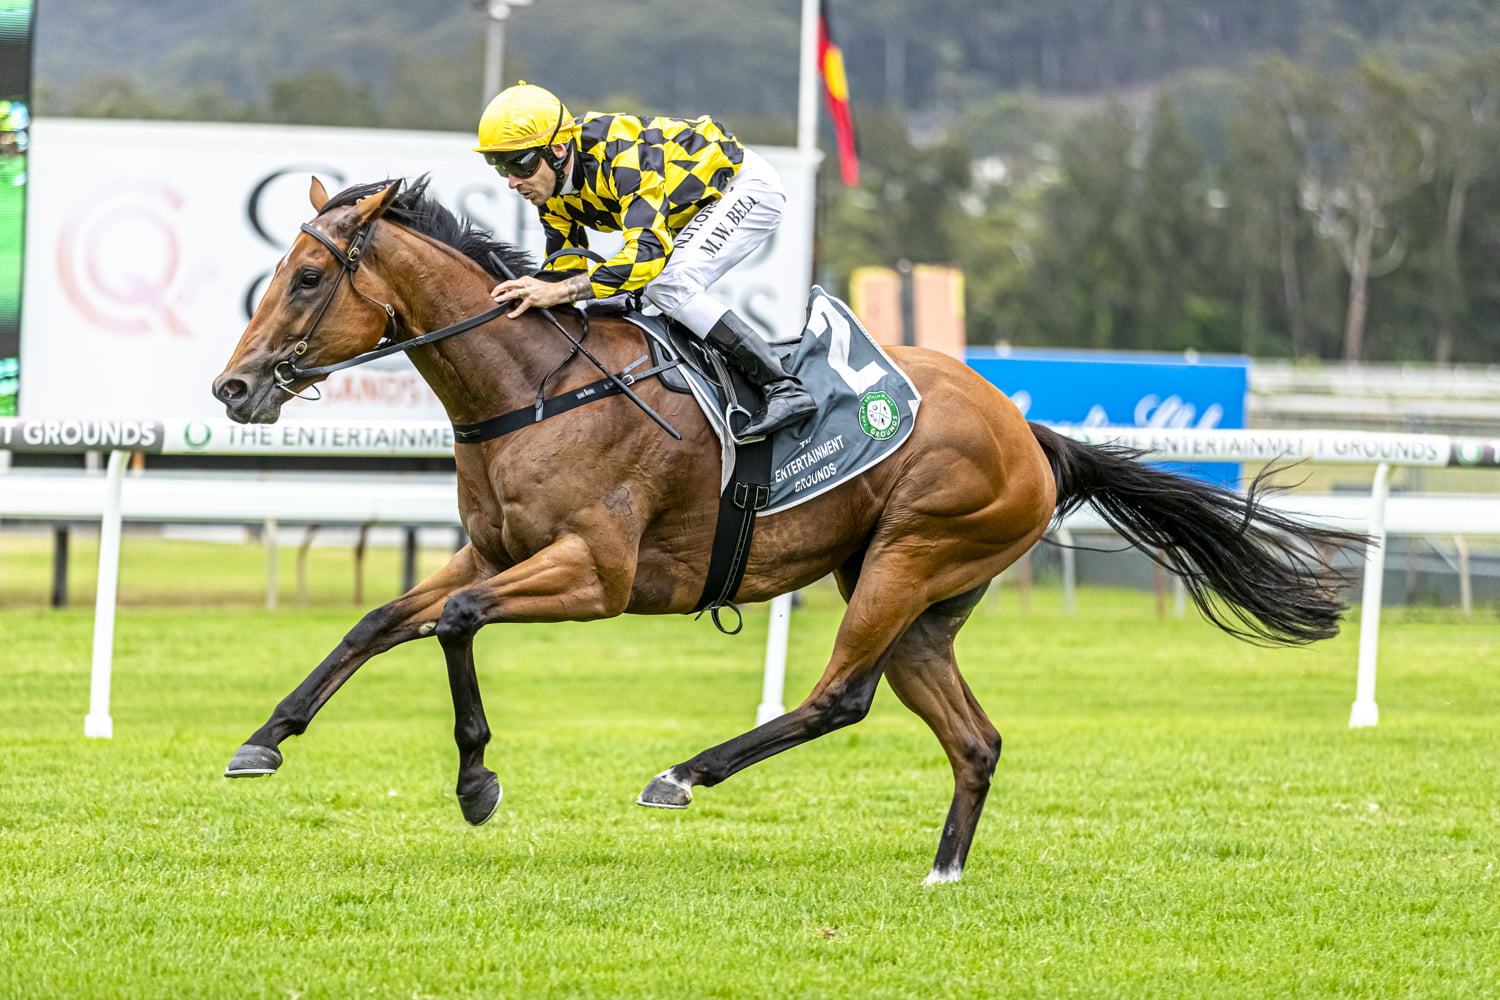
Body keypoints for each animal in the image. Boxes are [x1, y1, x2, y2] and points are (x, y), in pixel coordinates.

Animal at [211, 177, 1374, 881]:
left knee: (837, 698)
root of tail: (1031, 432)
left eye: (305, 277)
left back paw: (684, 773)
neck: (535, 388)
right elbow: (379, 622)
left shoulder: (595, 574)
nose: (232, 388)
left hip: (908, 557)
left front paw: (476, 783)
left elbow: (452, 623)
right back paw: (943, 871)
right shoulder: (492, 550)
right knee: (974, 736)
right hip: (924, 604)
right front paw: (264, 738)